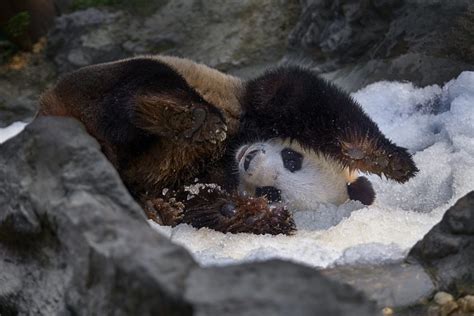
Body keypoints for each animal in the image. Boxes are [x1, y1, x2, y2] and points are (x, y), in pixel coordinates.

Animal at [38, 55, 418, 235]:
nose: (251, 161)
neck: (228, 153)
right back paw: (188, 118)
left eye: (272, 192)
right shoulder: (253, 106)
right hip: (97, 83)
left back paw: (154, 208)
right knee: (139, 88)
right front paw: (383, 159)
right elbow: (300, 95)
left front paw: (258, 216)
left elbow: (200, 207)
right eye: (291, 158)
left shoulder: (199, 182)